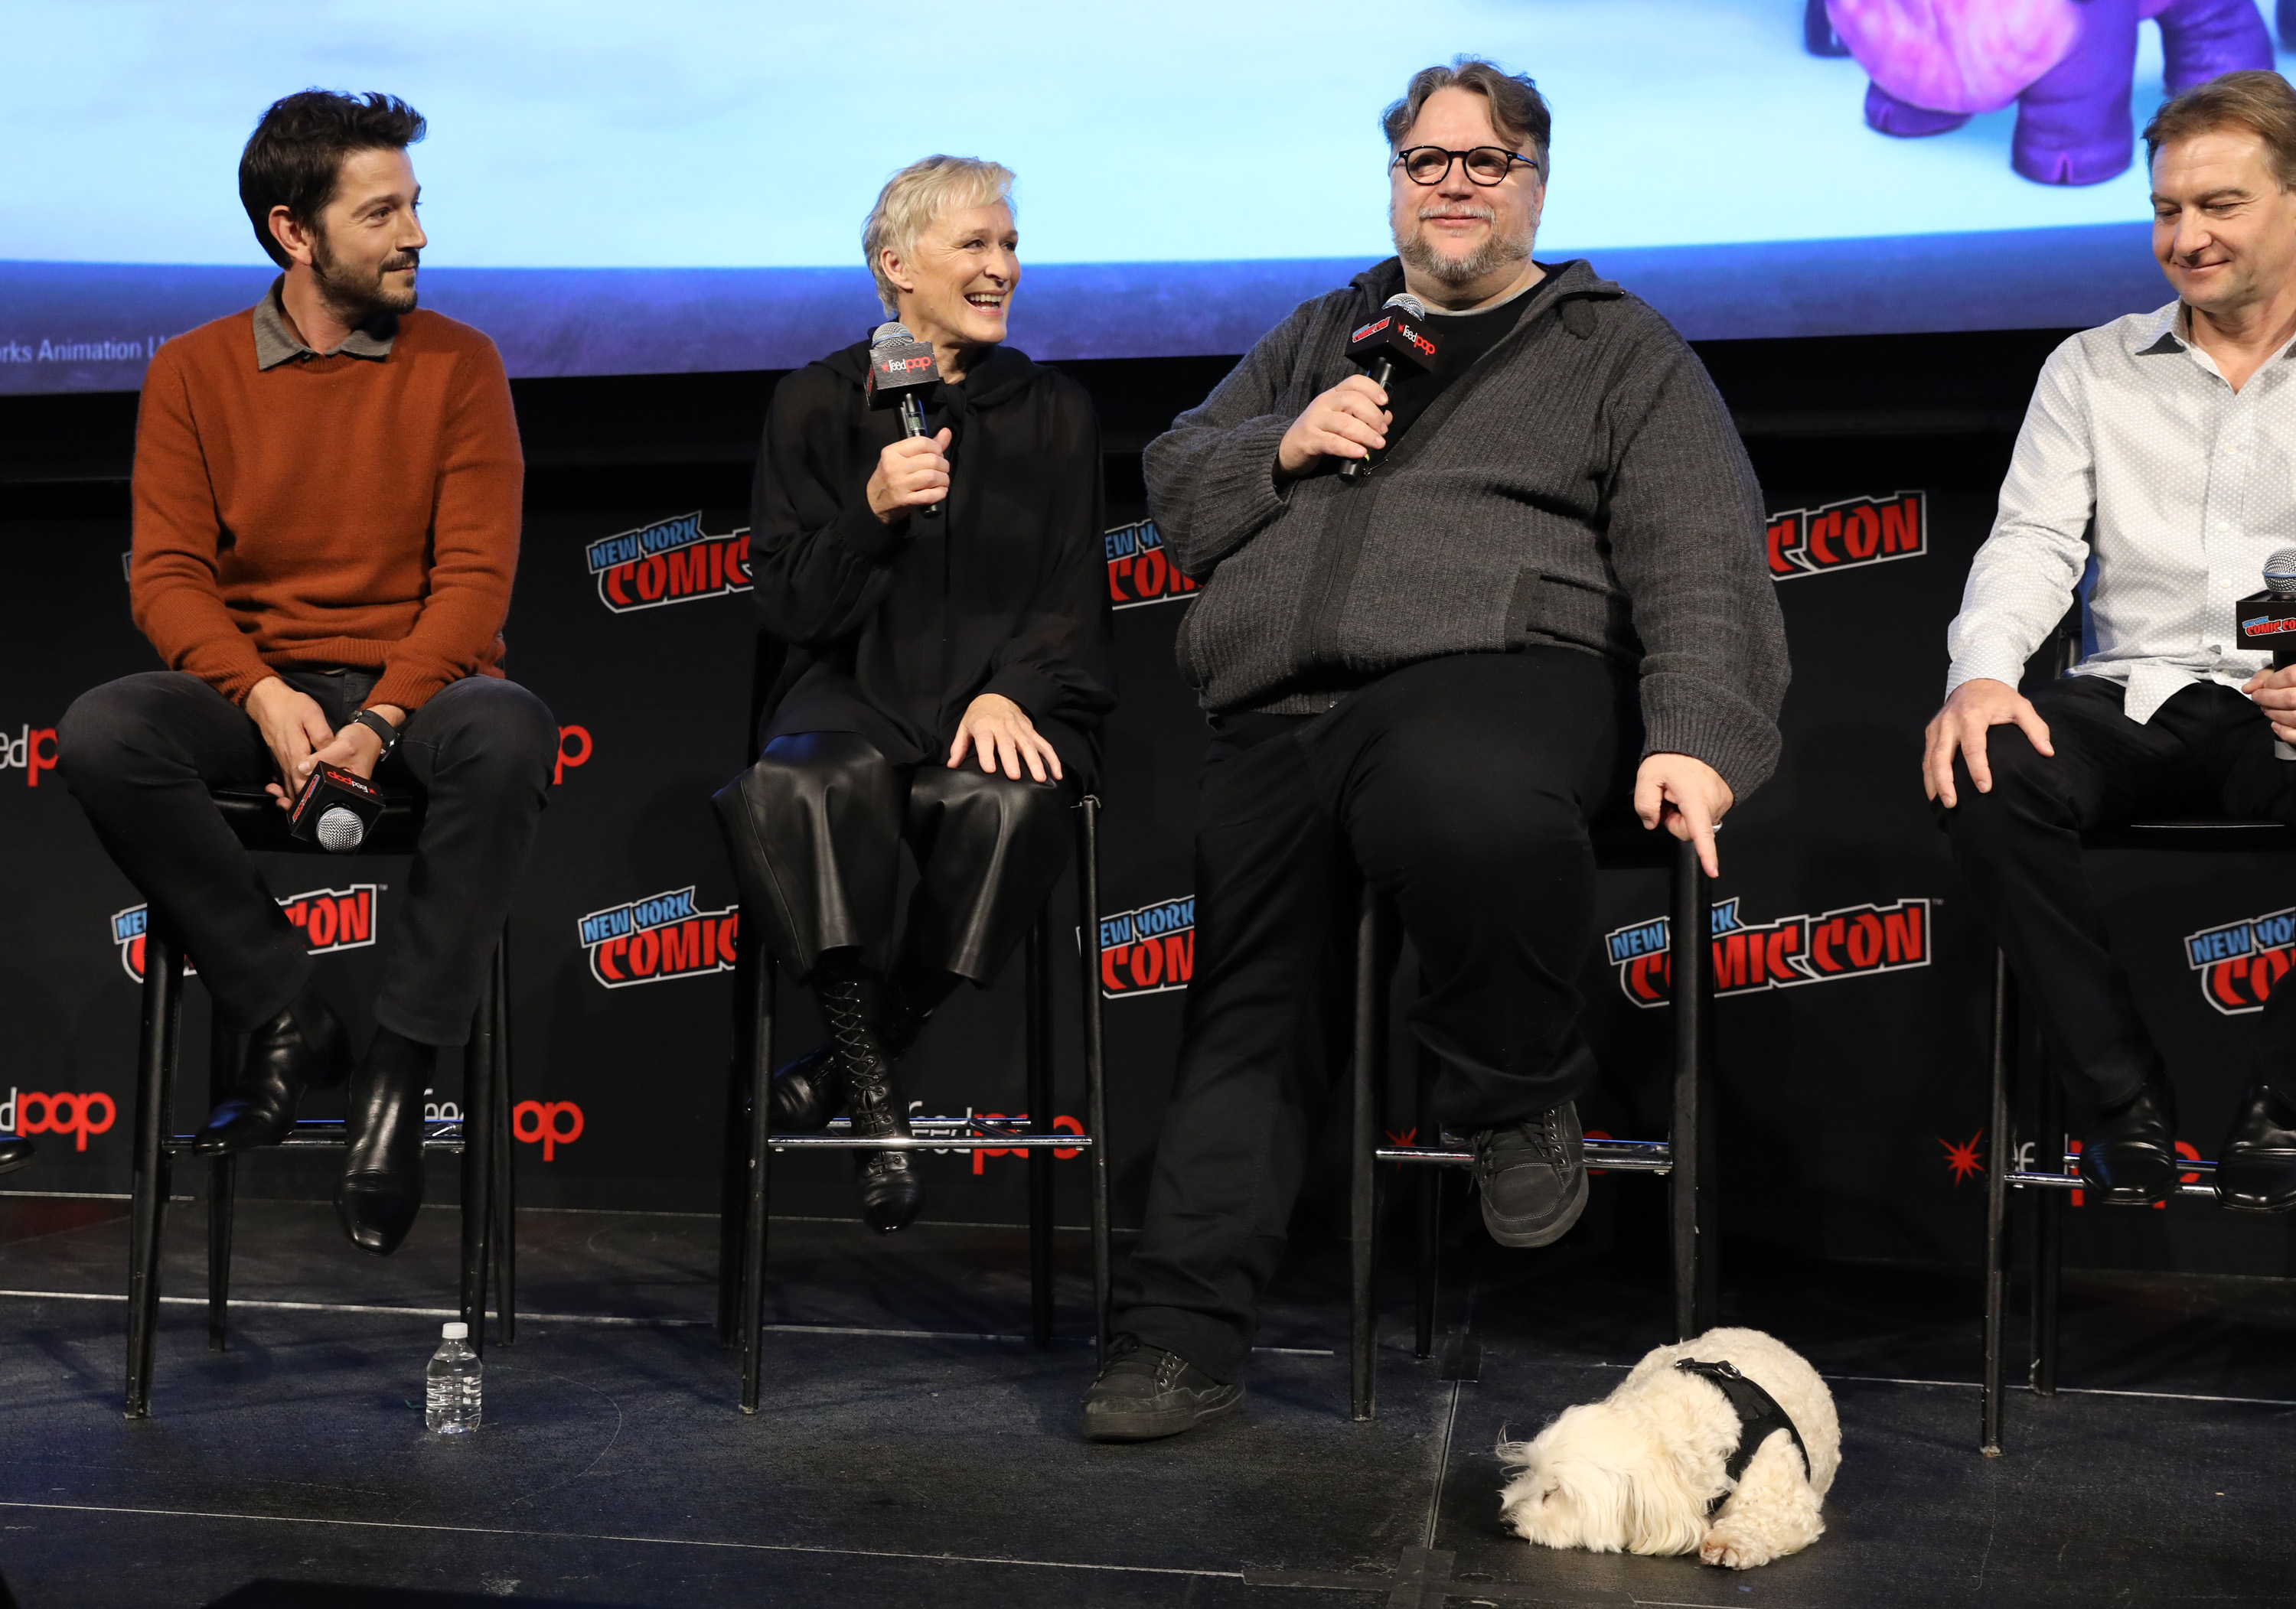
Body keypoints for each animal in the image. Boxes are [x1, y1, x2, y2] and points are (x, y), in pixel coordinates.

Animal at [1496, 1327, 1840, 1571]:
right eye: (1532, 1473)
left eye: (1554, 1493)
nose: (1504, 1519)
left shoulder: (1786, 1499)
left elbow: (1770, 1516)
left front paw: (1732, 1540)